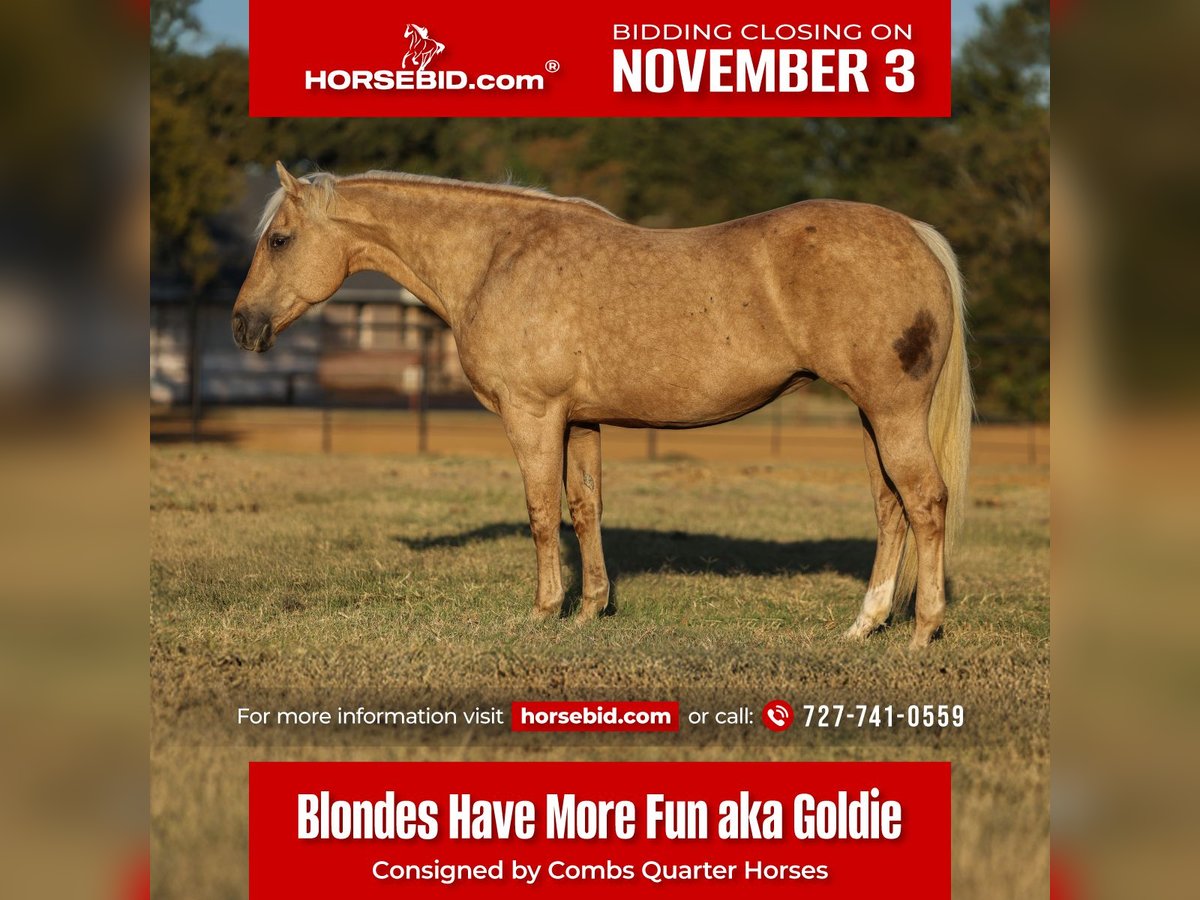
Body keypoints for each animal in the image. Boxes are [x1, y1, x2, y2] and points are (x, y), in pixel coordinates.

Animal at [233, 163, 972, 648]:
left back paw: (922, 631)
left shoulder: (532, 415)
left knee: (925, 502)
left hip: (892, 413)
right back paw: (864, 624)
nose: (243, 325)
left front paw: (543, 611)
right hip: (872, 416)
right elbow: (584, 508)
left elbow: (540, 512)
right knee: (891, 508)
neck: (496, 257)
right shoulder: (580, 420)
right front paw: (590, 609)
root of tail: (917, 234)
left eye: (278, 239)